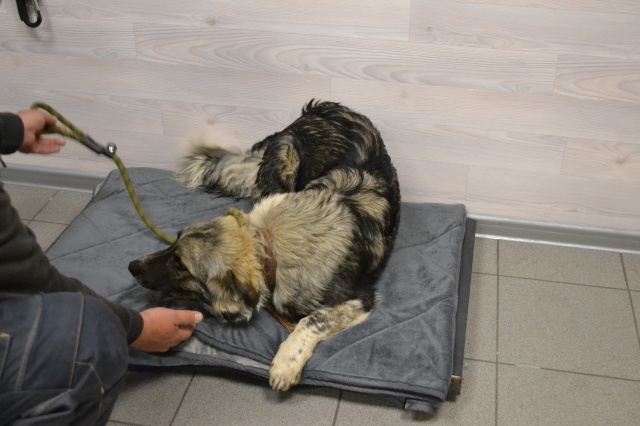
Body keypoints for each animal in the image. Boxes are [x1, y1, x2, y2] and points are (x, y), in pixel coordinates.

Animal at [128, 100, 401, 391]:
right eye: (175, 241)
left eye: (180, 265)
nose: (132, 266)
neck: (270, 248)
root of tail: (314, 109)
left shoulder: (360, 299)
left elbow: (312, 319)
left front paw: (286, 361)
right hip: (286, 160)